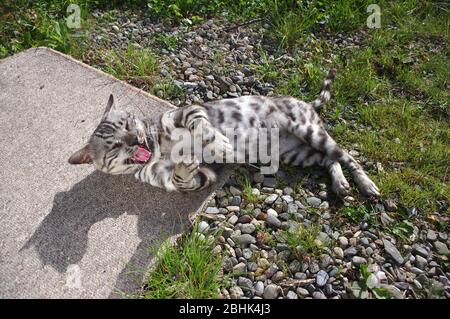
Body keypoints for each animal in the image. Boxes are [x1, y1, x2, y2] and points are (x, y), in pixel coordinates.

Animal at [68, 69, 380, 196]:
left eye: (129, 123)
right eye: (115, 146)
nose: (136, 140)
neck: (158, 148)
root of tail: (305, 102)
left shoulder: (190, 111)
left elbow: (204, 130)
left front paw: (223, 146)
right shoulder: (202, 177)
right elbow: (182, 178)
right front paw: (186, 163)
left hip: (308, 130)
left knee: (347, 156)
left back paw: (366, 184)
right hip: (297, 153)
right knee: (330, 160)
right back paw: (341, 184)